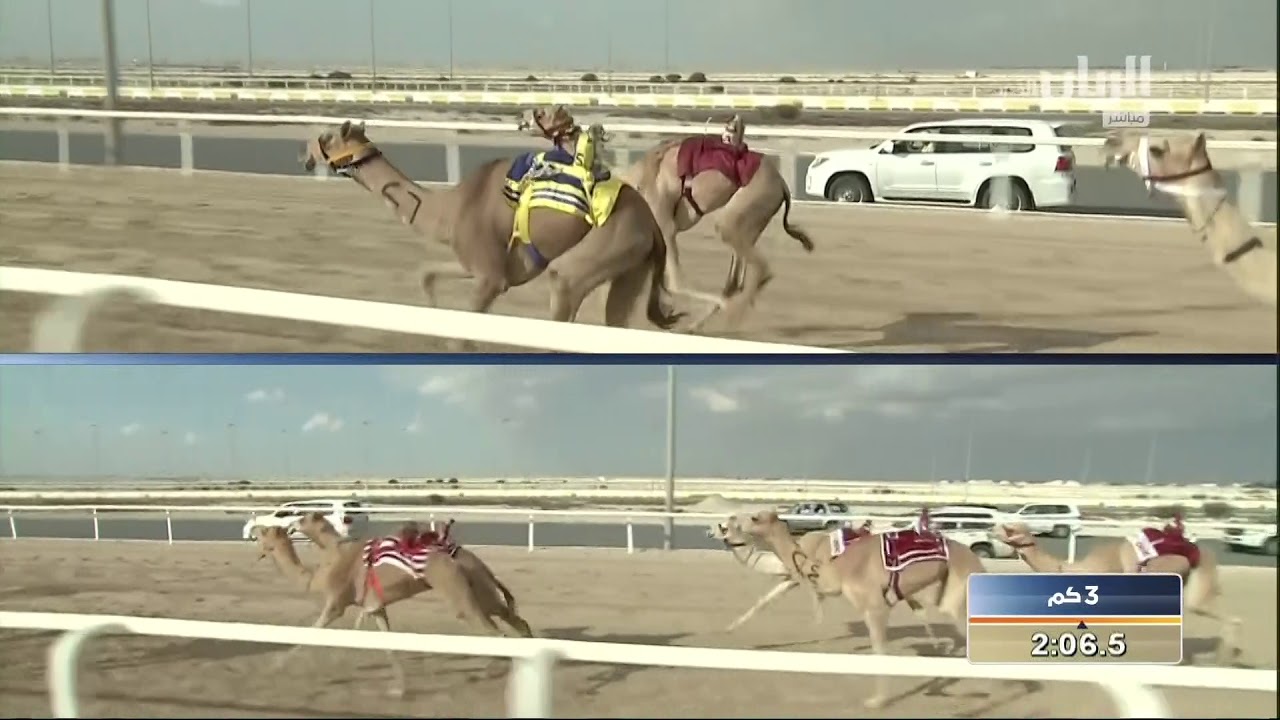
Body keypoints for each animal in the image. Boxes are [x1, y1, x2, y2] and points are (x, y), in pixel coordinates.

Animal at [251, 519, 515, 697]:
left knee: (495, 632)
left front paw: (274, 667)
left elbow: (312, 632)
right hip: (479, 585)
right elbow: (388, 644)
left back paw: (488, 671)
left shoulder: (336, 602)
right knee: (510, 618)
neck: (318, 575)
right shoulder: (374, 606)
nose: (253, 531)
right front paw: (399, 689)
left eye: (264, 532)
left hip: (456, 590)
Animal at [301, 114, 682, 348]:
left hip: (602, 249)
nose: (306, 155)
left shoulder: (491, 278)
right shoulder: (477, 264)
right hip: (632, 266)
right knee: (615, 320)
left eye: (326, 138)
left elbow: (463, 337)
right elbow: (426, 273)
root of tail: (651, 223)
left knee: (564, 286)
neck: (450, 208)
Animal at [620, 115, 816, 330]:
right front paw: (665, 315)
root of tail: (782, 185)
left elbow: (676, 283)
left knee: (760, 269)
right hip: (752, 222)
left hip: (741, 211)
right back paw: (696, 325)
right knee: (735, 280)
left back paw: (730, 316)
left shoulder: (665, 225)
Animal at [734, 509, 987, 709]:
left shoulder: (875, 606)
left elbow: (880, 651)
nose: (729, 528)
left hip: (958, 596)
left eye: (754, 517)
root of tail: (978, 563)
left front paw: (878, 701)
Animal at [992, 516, 1241, 665]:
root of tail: (1206, 552)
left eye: (1009, 529)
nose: (991, 528)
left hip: (1201, 574)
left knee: (1221, 615)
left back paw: (1226, 658)